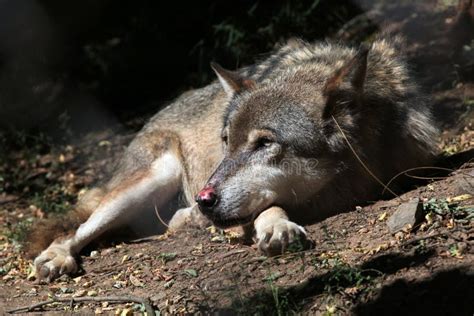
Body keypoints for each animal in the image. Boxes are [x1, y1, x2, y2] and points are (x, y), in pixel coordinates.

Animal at [29, 36, 438, 282]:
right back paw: (57, 257)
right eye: (226, 141)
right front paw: (277, 226)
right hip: (151, 179)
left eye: (264, 143)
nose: (205, 199)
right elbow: (267, 207)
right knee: (76, 230)